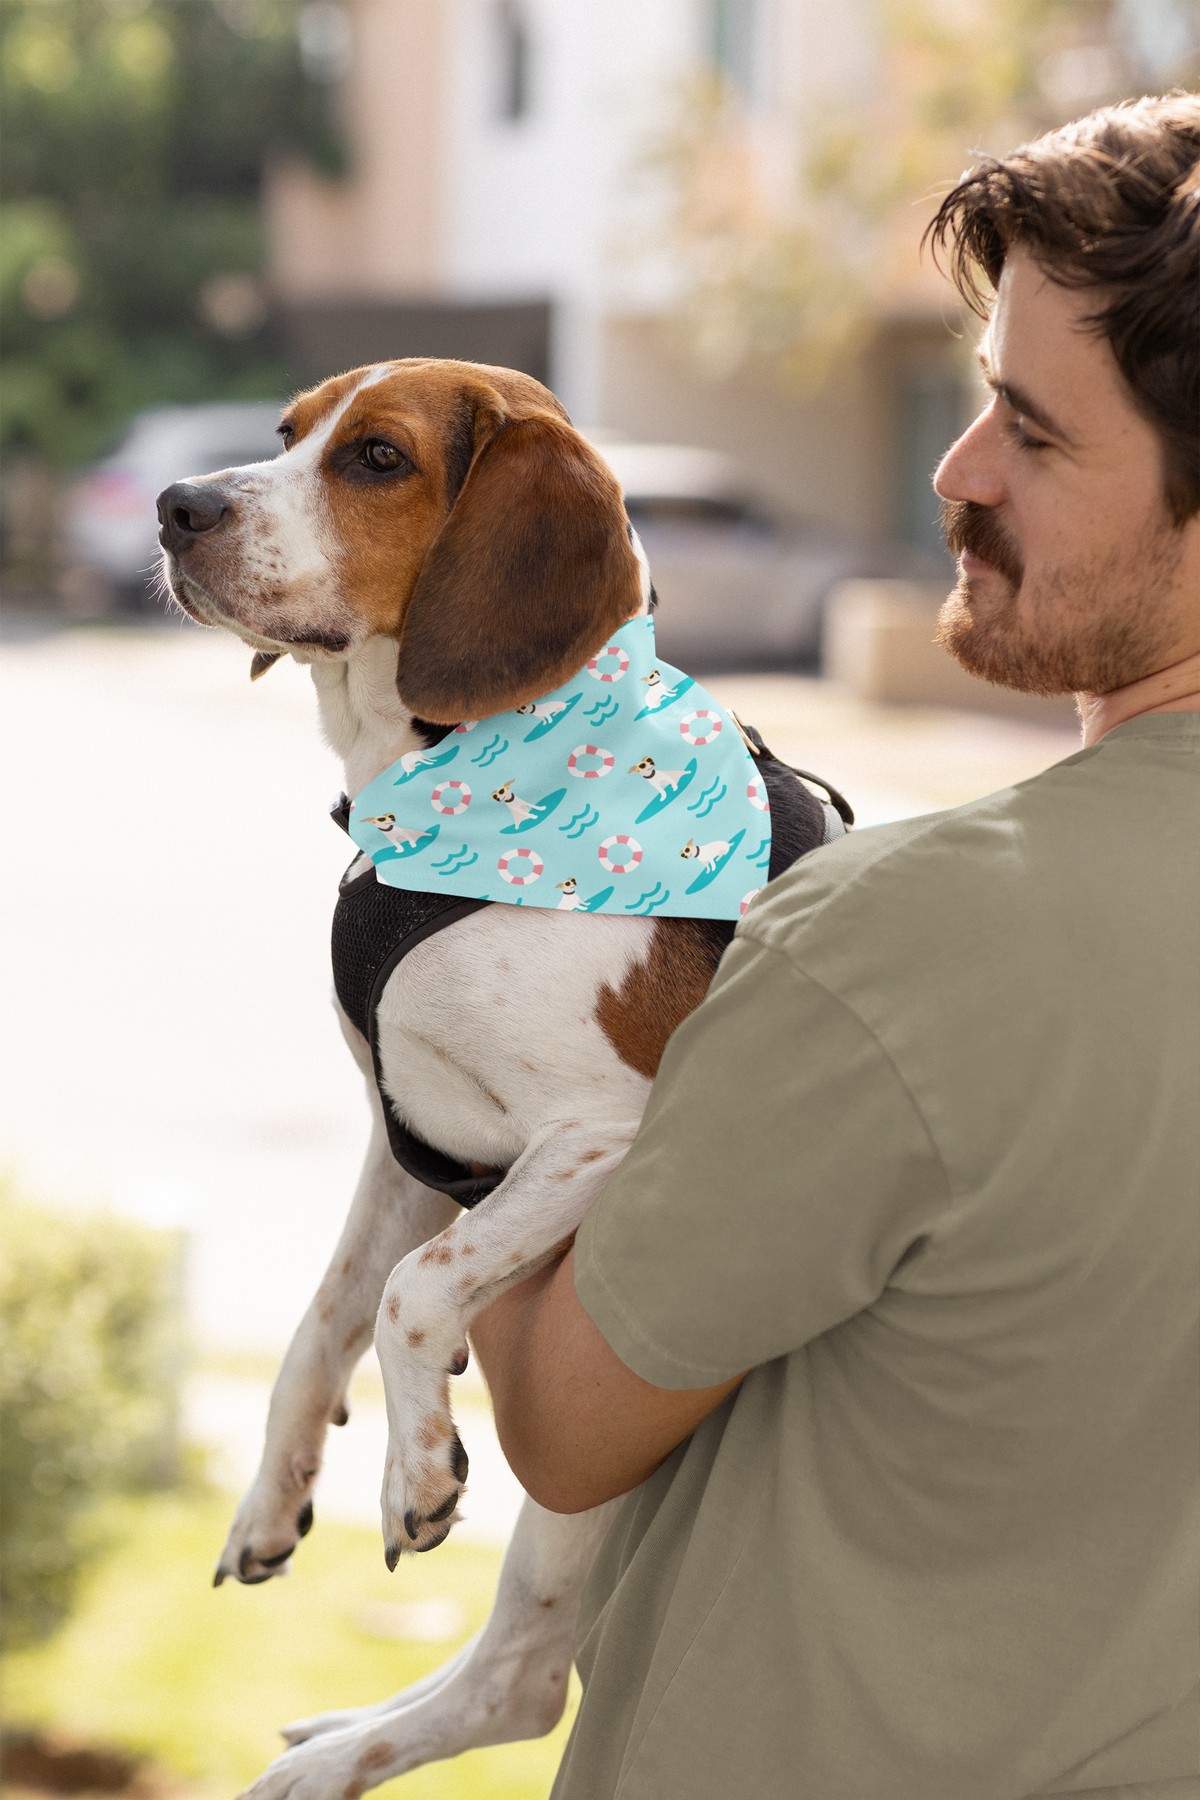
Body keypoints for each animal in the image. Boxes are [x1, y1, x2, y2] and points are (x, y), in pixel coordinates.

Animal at [157, 354, 834, 1800]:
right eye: (287, 433)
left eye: (378, 458)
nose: (179, 506)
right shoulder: (407, 1138)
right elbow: (325, 1317)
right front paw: (274, 1493)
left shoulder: (607, 1139)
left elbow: (412, 1293)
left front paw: (412, 1468)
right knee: (517, 1675)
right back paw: (333, 1746)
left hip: (591, 1467)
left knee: (525, 1682)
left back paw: (328, 1762)